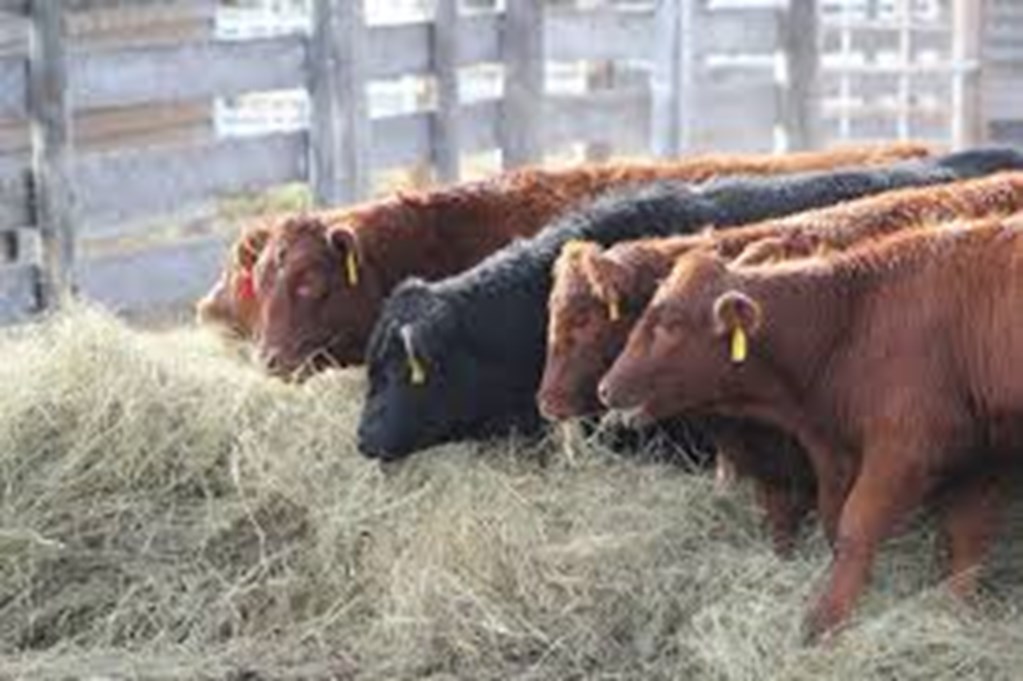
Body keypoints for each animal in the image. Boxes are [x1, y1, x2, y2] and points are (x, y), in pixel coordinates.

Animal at [597, 215, 1023, 638]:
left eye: (671, 324)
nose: (605, 388)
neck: (852, 321)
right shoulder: (979, 457)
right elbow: (966, 539)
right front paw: (956, 612)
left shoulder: (907, 448)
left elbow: (856, 527)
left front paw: (823, 621)